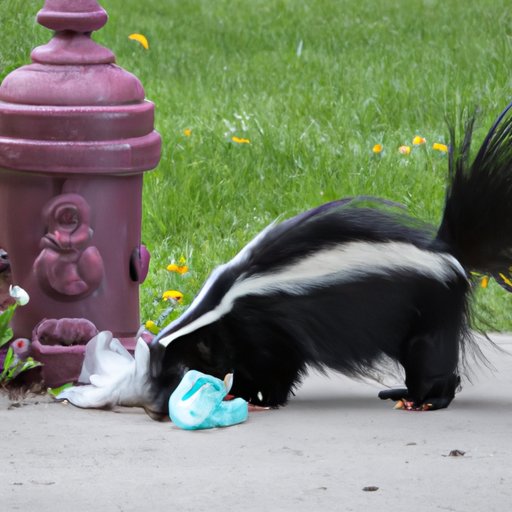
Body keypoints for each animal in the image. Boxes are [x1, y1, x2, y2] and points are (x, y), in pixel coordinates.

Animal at [60, 105, 512, 420]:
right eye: (158, 372)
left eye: (179, 369)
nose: (155, 408)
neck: (223, 304)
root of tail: (447, 252)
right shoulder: (242, 335)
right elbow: (244, 364)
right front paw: (241, 393)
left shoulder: (267, 328)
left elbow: (274, 366)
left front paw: (260, 397)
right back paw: (406, 394)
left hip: (429, 310)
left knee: (431, 357)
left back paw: (425, 399)